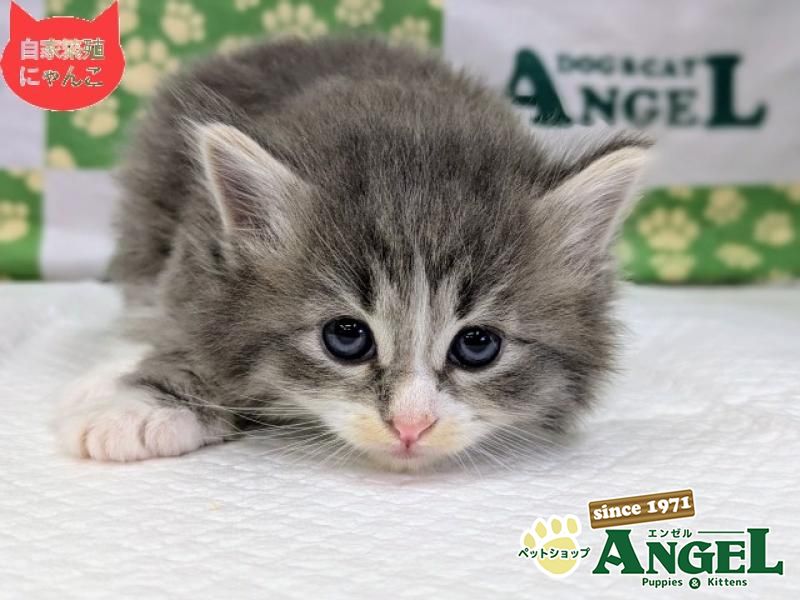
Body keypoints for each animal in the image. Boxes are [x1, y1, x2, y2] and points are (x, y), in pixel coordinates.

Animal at [55, 37, 649, 471]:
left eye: (478, 345)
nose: (410, 426)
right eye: (346, 337)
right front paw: (136, 406)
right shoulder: (200, 260)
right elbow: (193, 337)